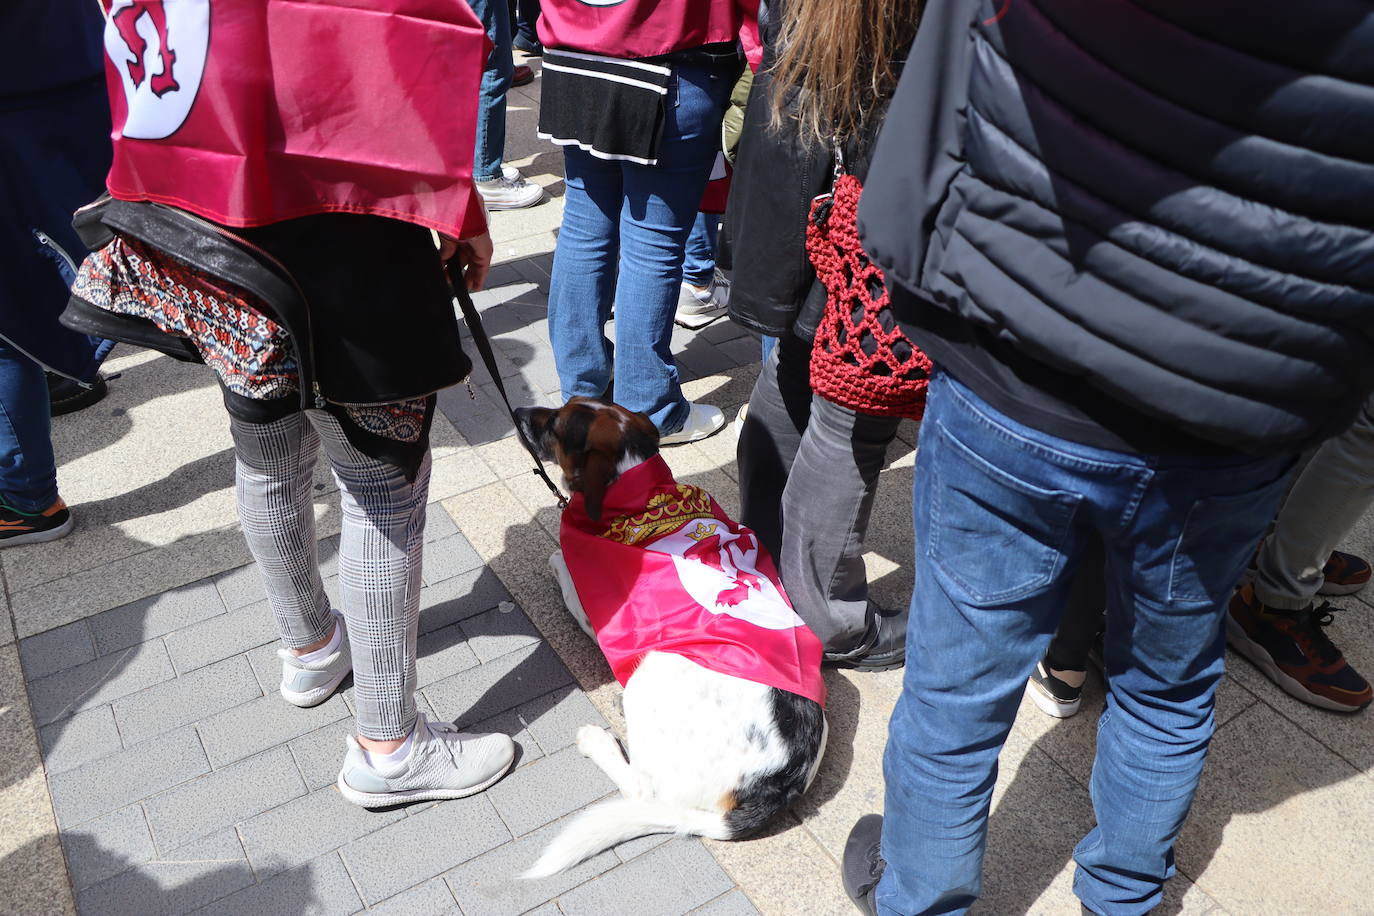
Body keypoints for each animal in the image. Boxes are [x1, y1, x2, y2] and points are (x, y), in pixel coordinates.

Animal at [513, 398, 824, 878]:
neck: (641, 493)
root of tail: (777, 783)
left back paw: (597, 743)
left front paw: (556, 559)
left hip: (649, 674)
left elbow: (562, 566)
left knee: (642, 791)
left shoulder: (599, 614)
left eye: (558, 425)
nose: (518, 411)